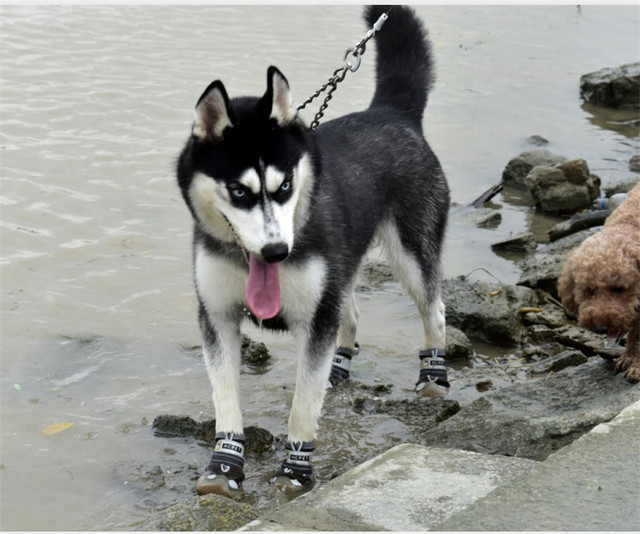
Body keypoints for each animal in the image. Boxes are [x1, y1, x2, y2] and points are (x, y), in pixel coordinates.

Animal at [175, 4, 450, 498]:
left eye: (284, 185)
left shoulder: (314, 317)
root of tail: (390, 112)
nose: (276, 251)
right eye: (239, 192)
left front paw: (295, 469)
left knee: (433, 310)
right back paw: (339, 367)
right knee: (350, 315)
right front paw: (225, 464)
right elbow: (225, 397)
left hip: (411, 254)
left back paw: (433, 376)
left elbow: (303, 404)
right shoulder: (217, 317)